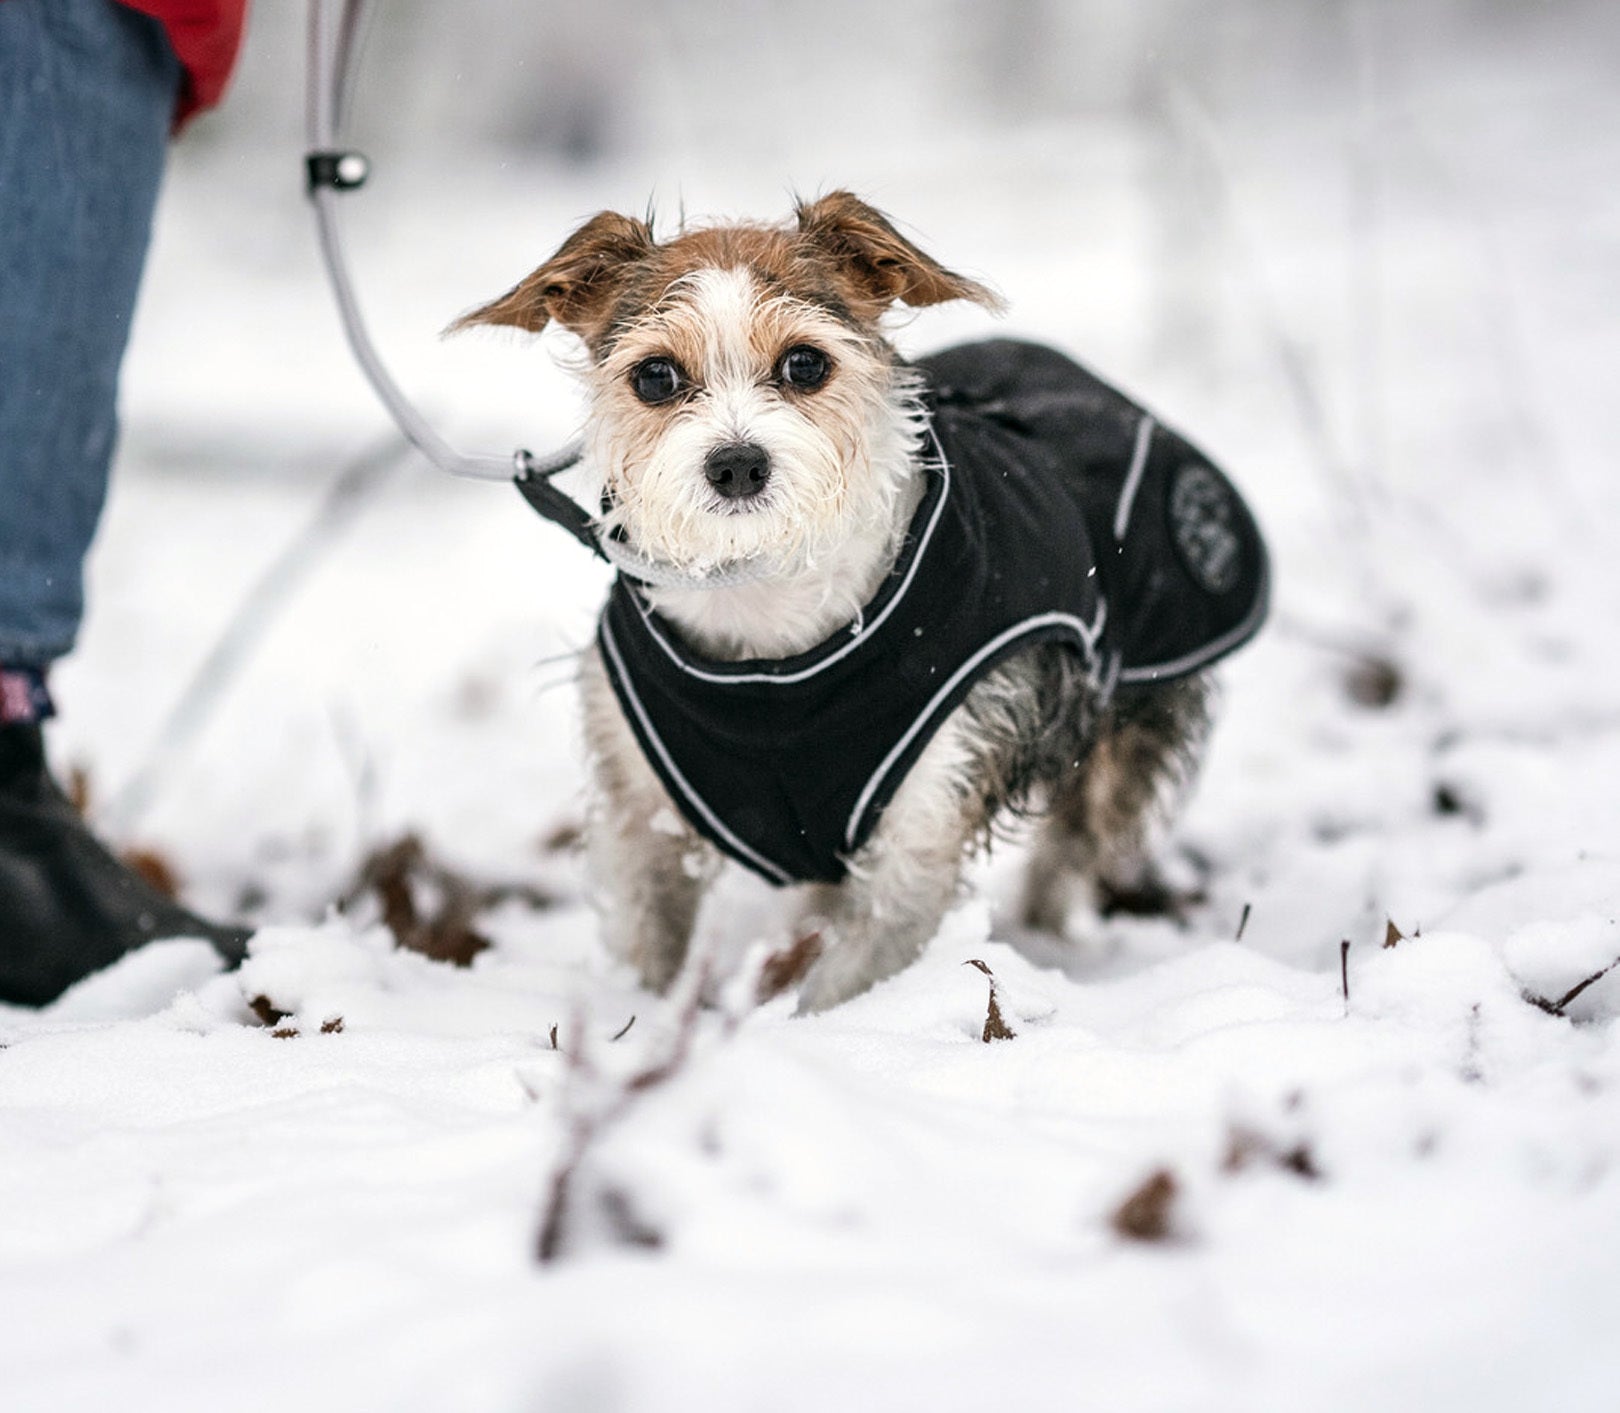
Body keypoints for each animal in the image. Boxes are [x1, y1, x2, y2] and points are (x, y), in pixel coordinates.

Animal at [450, 192, 1270, 1011]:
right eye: (655, 376)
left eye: (805, 363)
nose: (737, 463)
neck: (766, 621)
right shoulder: (638, 811)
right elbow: (646, 954)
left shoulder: (926, 817)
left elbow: (851, 979)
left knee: (1073, 846)